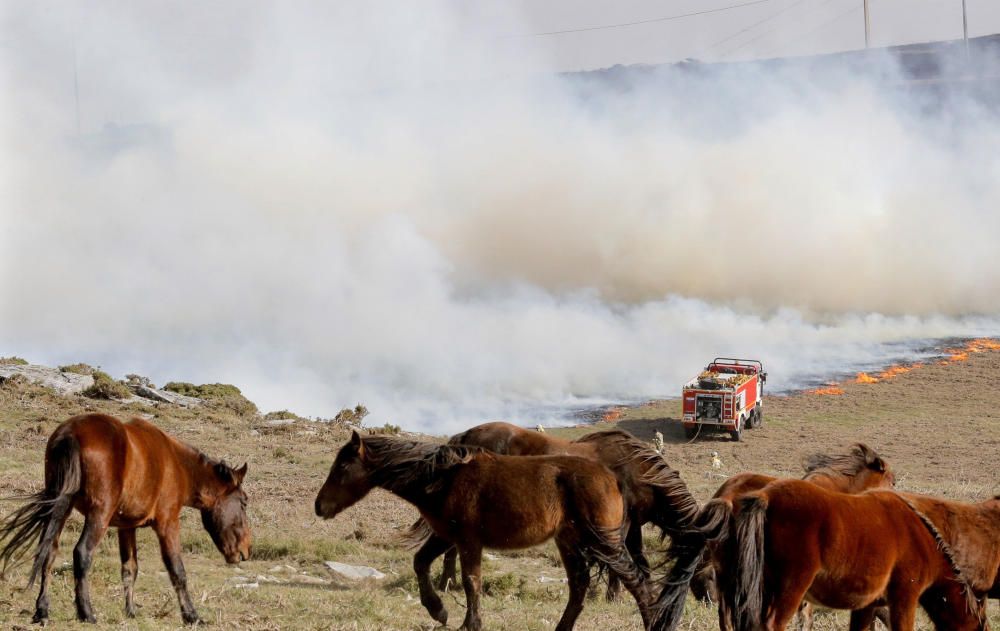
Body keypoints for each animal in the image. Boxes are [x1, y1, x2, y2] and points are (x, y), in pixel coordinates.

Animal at [0, 412, 250, 624]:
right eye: (244, 501)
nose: (246, 550)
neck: (177, 464)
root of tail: (70, 432)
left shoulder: (126, 527)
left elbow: (130, 568)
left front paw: (130, 611)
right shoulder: (167, 523)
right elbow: (177, 570)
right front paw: (192, 616)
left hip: (61, 506)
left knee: (49, 552)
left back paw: (42, 611)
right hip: (99, 514)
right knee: (81, 552)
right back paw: (86, 613)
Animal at [312, 432, 672, 631]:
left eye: (342, 467)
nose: (319, 507)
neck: (444, 478)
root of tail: (613, 478)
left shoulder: (468, 541)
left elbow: (472, 582)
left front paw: (469, 623)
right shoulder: (446, 536)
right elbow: (421, 563)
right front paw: (438, 611)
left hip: (603, 542)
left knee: (637, 582)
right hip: (570, 542)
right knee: (580, 587)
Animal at [432, 420, 704, 608]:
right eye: (704, 564)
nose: (709, 600)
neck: (636, 472)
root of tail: (465, 436)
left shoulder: (633, 525)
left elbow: (638, 560)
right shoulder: (620, 525)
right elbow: (619, 563)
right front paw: (614, 596)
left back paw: (448, 583)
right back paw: (448, 583)